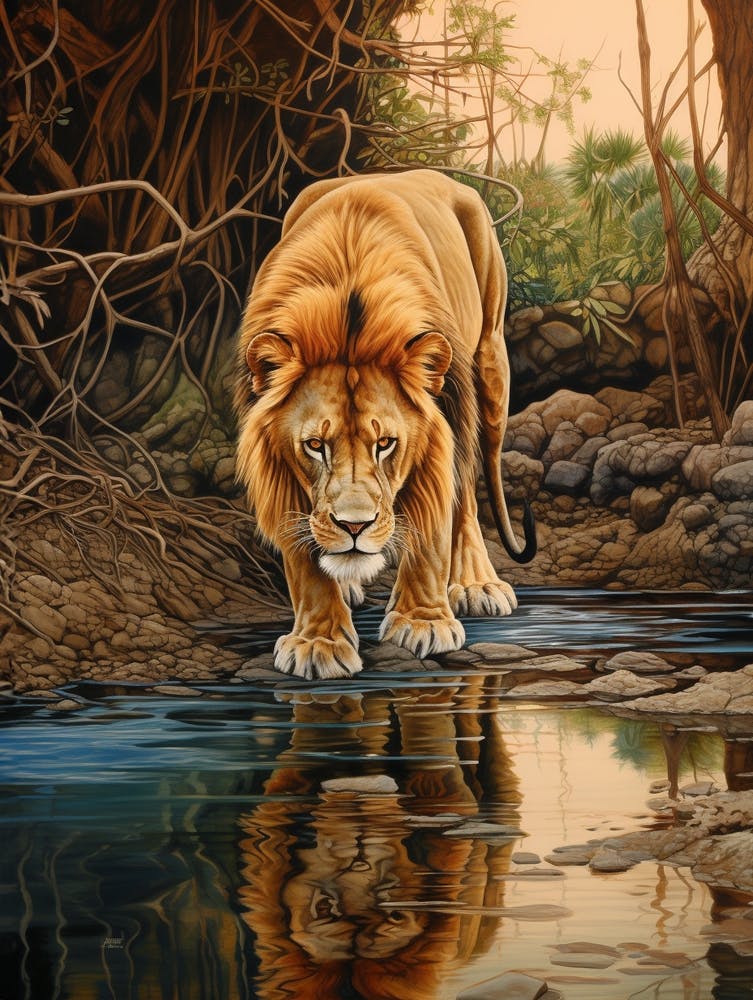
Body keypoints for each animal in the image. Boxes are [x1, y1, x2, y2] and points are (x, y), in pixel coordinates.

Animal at [235, 169, 535, 679]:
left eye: (386, 443)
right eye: (315, 445)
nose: (354, 527)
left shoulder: (443, 419)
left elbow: (434, 524)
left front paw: (424, 623)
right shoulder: (279, 468)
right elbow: (302, 558)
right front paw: (317, 642)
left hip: (491, 363)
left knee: (473, 483)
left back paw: (477, 584)